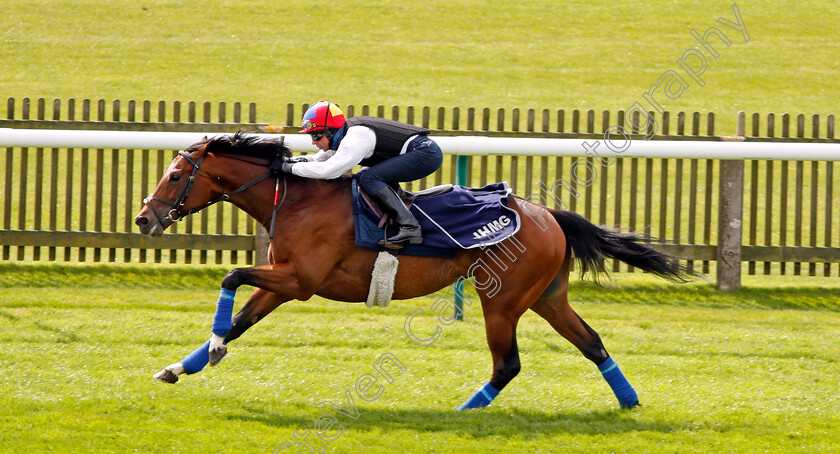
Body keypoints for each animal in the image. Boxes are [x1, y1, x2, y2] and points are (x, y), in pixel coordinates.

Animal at [135, 132, 692, 412]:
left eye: (177, 175)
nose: (144, 218)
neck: (296, 198)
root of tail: (548, 215)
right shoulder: (282, 279)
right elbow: (240, 320)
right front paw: (182, 366)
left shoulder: (300, 281)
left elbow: (230, 278)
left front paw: (211, 349)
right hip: (547, 296)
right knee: (592, 343)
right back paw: (630, 402)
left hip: (502, 299)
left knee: (508, 364)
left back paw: (464, 412)